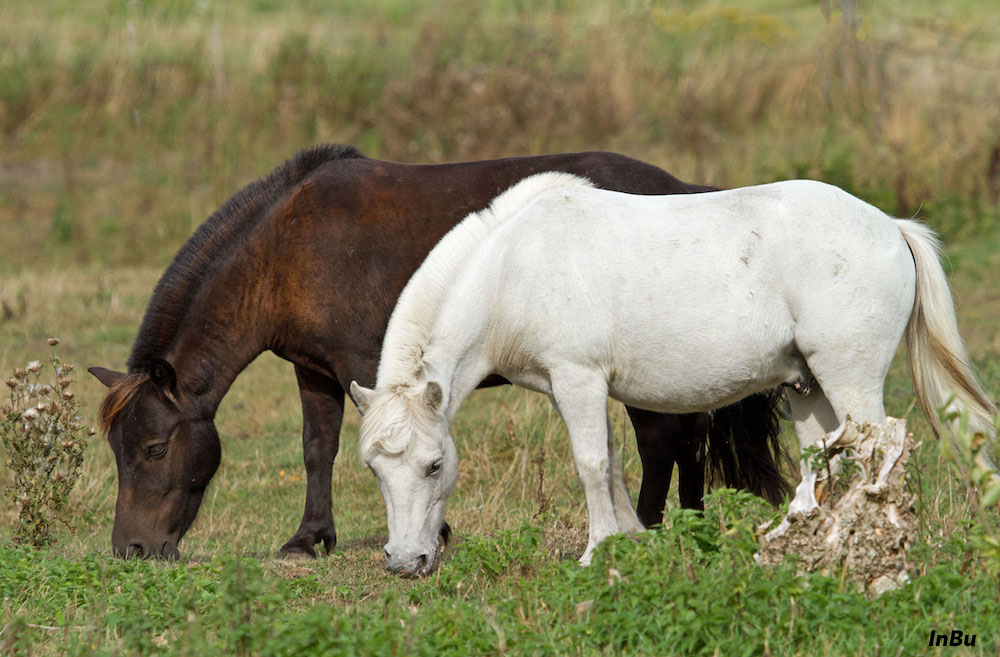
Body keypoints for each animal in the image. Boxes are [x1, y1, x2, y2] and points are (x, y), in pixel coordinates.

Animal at [88, 145, 788, 560]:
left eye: (154, 449)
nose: (131, 552)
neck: (285, 248)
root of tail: (683, 187)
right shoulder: (314, 371)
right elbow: (317, 450)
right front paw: (310, 539)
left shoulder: (365, 370)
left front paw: (429, 531)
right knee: (684, 436)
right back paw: (687, 525)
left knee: (664, 439)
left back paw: (651, 527)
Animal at [348, 170, 996, 576]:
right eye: (375, 469)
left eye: (435, 465)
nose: (405, 563)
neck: (513, 269)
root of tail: (890, 226)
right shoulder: (572, 389)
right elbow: (609, 463)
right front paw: (630, 541)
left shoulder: (577, 380)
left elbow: (590, 464)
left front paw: (596, 552)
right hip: (807, 387)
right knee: (821, 455)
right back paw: (794, 542)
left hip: (848, 378)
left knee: (876, 452)